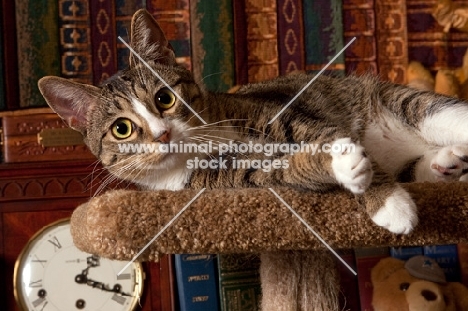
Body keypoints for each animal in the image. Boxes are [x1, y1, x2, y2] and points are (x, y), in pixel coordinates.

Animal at [39, 8, 468, 235]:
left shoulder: (278, 112)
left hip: (405, 102)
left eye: (164, 98)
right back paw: (445, 164)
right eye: (122, 128)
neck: (210, 143)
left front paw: (385, 199)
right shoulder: (237, 181)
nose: (162, 135)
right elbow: (289, 172)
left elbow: (323, 130)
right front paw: (352, 173)